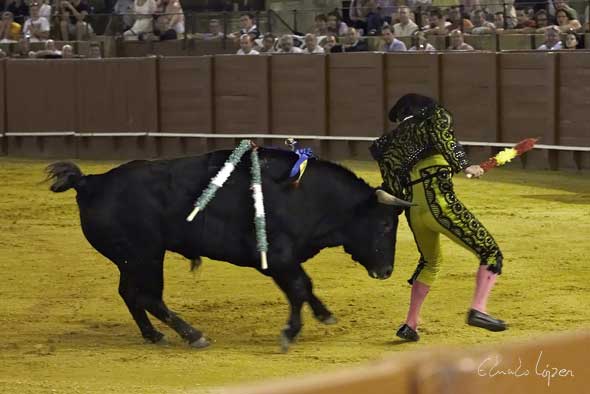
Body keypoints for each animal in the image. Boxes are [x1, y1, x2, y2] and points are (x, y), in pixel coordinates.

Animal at [47, 149, 412, 350]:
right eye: (384, 225)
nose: (386, 271)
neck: (306, 195)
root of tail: (91, 182)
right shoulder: (277, 257)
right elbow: (298, 288)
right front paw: (290, 333)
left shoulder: (285, 260)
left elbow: (305, 287)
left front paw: (323, 314)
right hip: (145, 255)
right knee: (148, 296)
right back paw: (193, 335)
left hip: (131, 259)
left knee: (129, 293)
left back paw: (153, 335)